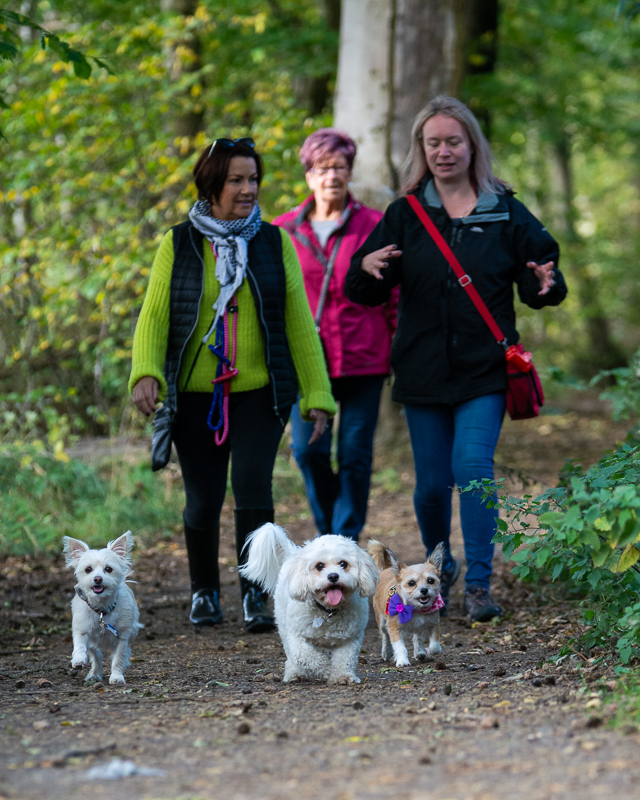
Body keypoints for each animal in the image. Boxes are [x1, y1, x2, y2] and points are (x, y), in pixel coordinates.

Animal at [63, 528, 142, 684]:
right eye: (88, 569)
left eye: (108, 569)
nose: (98, 579)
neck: (101, 609)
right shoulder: (81, 630)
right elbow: (79, 645)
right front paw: (78, 659)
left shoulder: (122, 637)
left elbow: (118, 658)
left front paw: (117, 676)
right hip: (93, 643)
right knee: (96, 657)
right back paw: (94, 674)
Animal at [240, 524, 380, 688]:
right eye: (319, 566)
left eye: (343, 564)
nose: (333, 576)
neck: (327, 611)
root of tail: (293, 555)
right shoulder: (296, 637)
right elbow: (308, 658)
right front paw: (327, 671)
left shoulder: (351, 638)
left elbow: (345, 658)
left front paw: (341, 675)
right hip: (283, 625)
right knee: (292, 655)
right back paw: (294, 673)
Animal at [368, 536, 442, 668]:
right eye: (411, 583)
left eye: (430, 580)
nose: (424, 590)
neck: (415, 608)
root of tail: (388, 568)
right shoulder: (394, 628)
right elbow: (400, 647)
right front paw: (402, 661)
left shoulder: (434, 624)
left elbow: (435, 646)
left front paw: (427, 651)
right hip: (381, 621)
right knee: (385, 636)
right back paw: (386, 652)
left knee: (417, 637)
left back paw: (420, 652)